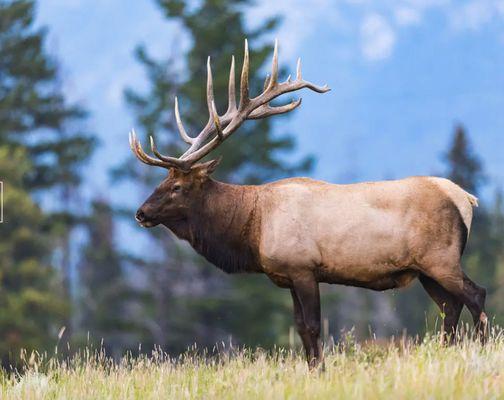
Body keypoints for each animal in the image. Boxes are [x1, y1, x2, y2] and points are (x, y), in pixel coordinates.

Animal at [130, 39, 488, 368]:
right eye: (161, 182)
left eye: (177, 186)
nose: (141, 213)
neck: (253, 227)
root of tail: (466, 198)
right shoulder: (287, 275)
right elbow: (301, 329)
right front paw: (313, 368)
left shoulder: (303, 268)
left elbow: (314, 327)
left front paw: (322, 369)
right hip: (425, 268)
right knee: (450, 307)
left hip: (441, 257)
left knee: (476, 295)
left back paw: (482, 349)